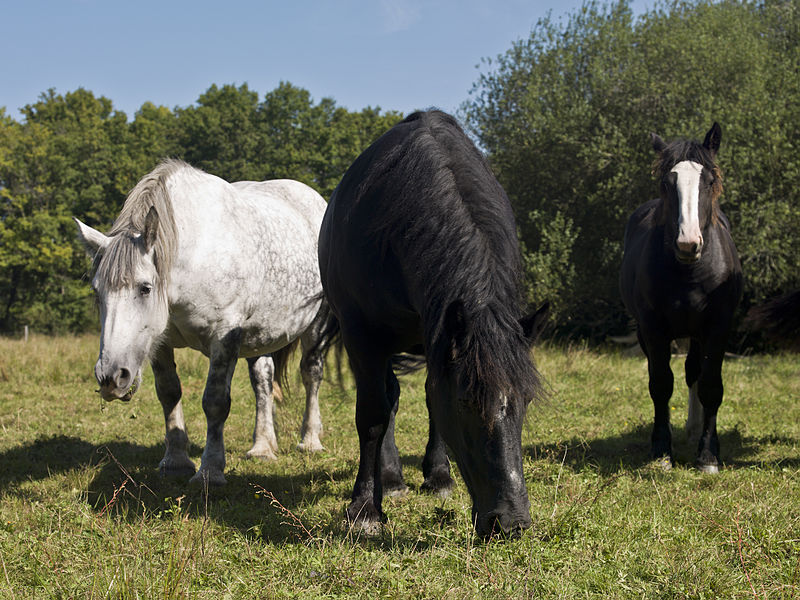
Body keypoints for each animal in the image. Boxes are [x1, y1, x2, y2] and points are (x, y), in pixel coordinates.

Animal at [72, 161, 328, 488]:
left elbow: (215, 401)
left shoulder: (225, 337)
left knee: (311, 374)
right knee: (263, 381)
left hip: (316, 325)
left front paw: (210, 470)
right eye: (97, 291)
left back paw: (310, 440)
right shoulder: (162, 343)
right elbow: (168, 393)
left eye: (145, 288)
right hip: (261, 334)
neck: (195, 254)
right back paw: (262, 447)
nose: (111, 377)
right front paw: (175, 462)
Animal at [318, 111, 544, 540]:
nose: (510, 522)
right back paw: (390, 478)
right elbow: (371, 416)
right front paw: (365, 509)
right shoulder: (362, 337)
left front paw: (438, 476)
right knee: (385, 399)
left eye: (525, 401)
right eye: (467, 402)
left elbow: (429, 398)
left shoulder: (440, 335)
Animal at [620, 123, 744, 474]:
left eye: (710, 181)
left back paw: (693, 429)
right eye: (667, 182)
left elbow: (711, 385)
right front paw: (662, 451)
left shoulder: (717, 328)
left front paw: (708, 455)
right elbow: (661, 384)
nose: (688, 244)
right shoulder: (653, 329)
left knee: (695, 374)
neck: (689, 273)